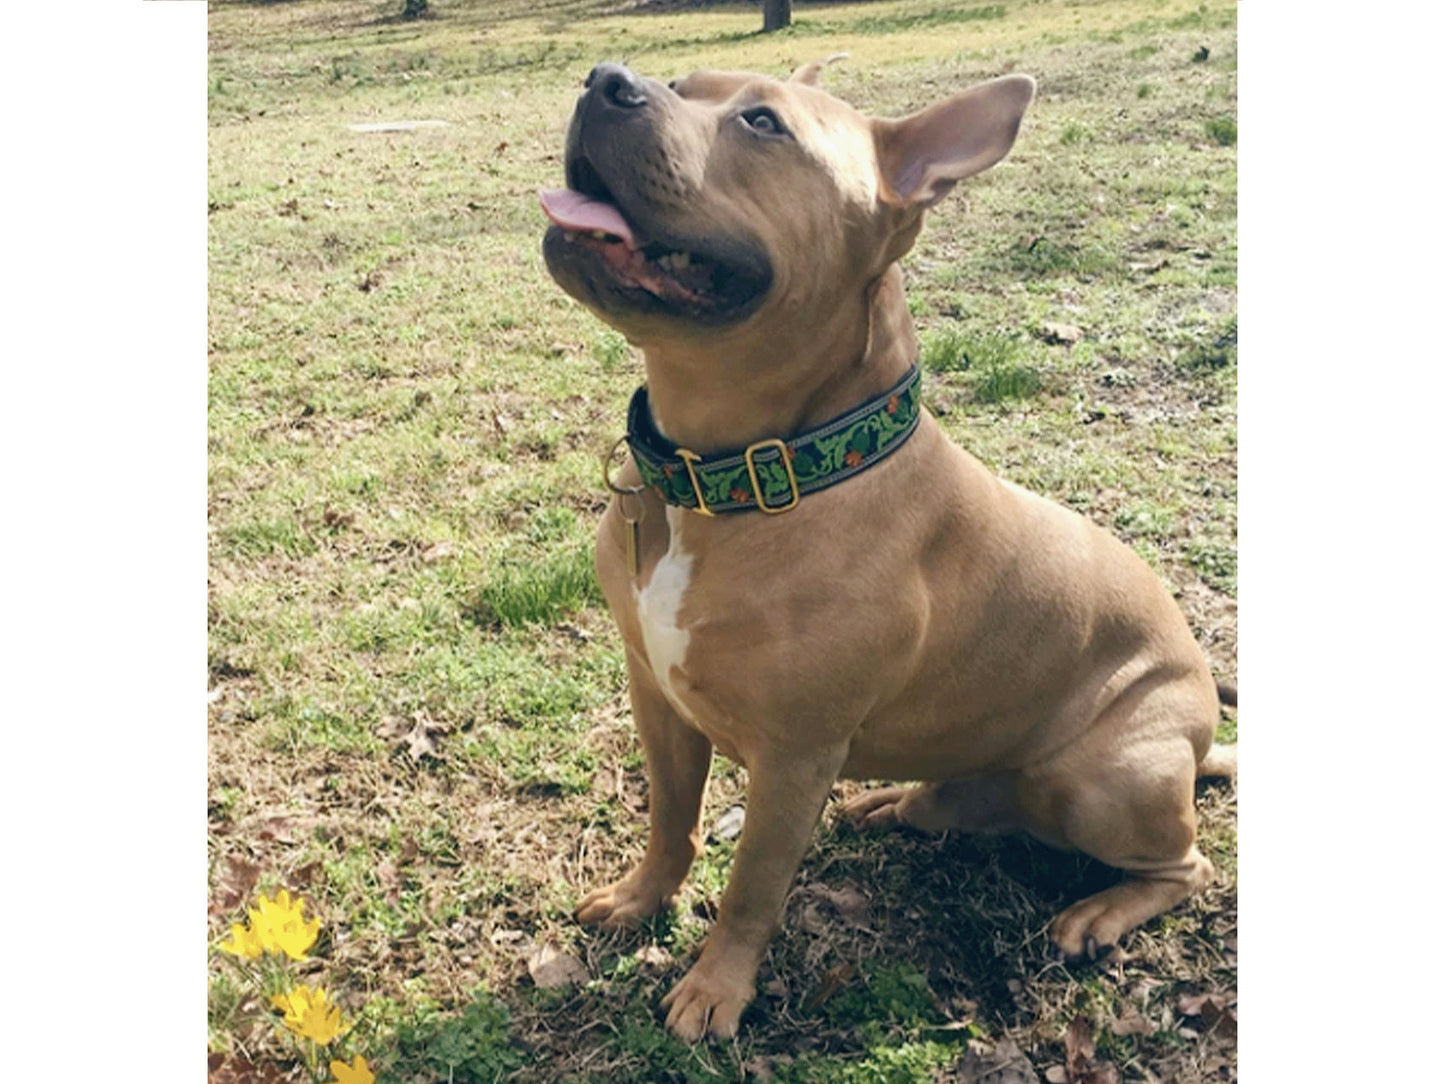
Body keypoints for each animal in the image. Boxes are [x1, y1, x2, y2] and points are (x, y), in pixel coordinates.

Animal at [537, 57, 1236, 1046]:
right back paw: (894, 804)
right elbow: (671, 818)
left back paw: (1097, 914)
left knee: (1186, 865)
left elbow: (751, 887)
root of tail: (1203, 738)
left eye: (762, 124)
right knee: (965, 807)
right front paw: (642, 900)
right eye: (683, 83)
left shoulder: (794, 757)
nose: (608, 79)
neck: (732, 480)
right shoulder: (655, 697)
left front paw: (715, 988)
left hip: (1101, 777)